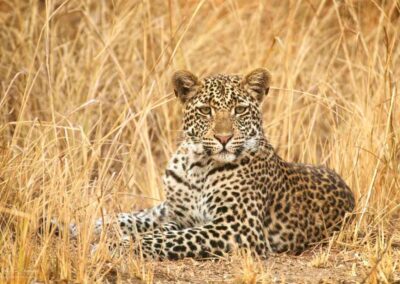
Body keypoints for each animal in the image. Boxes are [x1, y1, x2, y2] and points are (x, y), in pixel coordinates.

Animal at [45, 68, 354, 260]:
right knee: (118, 216)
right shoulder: (175, 214)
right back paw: (54, 224)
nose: (224, 138)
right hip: (161, 209)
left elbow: (166, 239)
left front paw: (115, 246)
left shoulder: (238, 227)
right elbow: (124, 220)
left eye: (239, 110)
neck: (196, 165)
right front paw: (81, 230)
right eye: (206, 110)